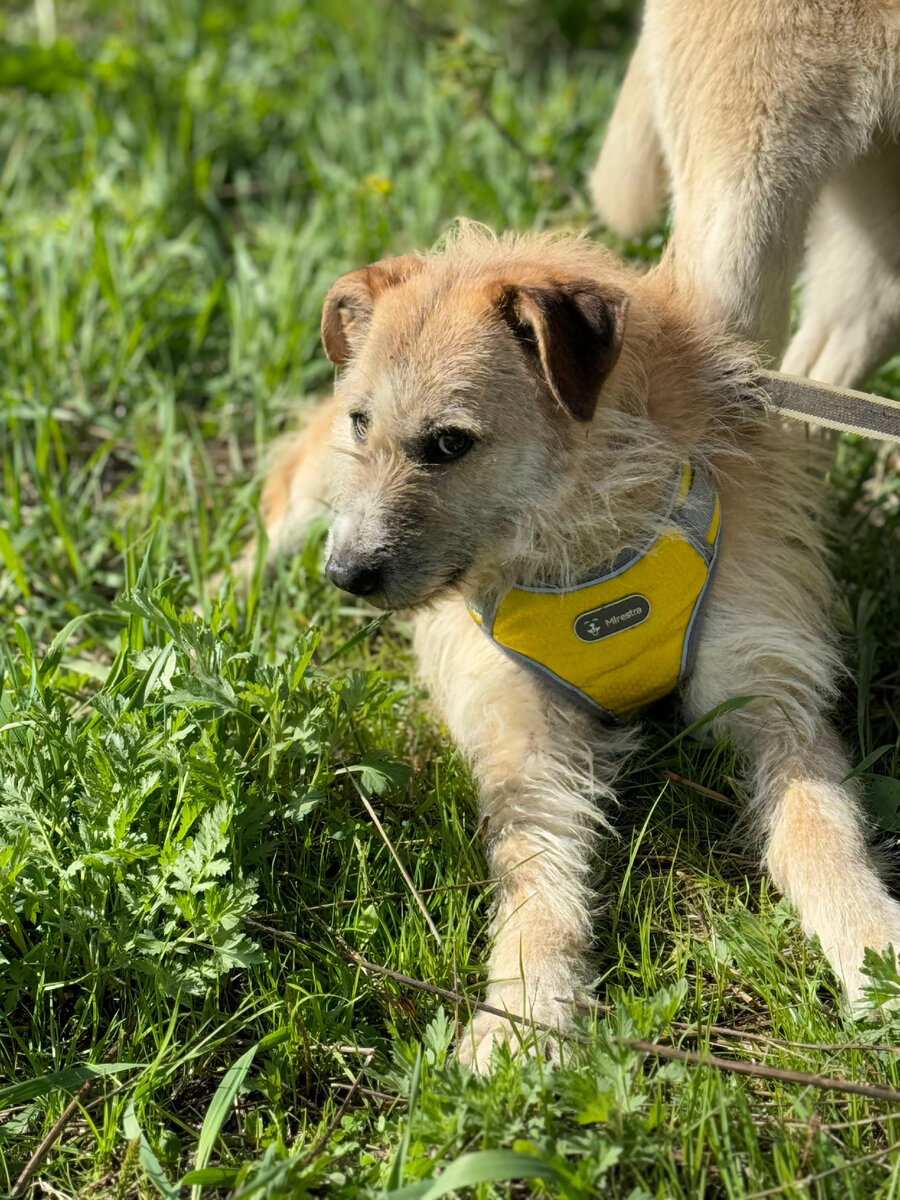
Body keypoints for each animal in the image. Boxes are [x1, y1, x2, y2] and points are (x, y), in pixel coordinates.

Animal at [255, 225, 900, 1070]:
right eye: (363, 423)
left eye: (450, 442)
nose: (345, 574)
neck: (582, 542)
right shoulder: (527, 742)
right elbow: (533, 884)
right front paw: (523, 1013)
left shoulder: (766, 688)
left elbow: (817, 832)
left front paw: (872, 949)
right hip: (311, 495)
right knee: (276, 504)